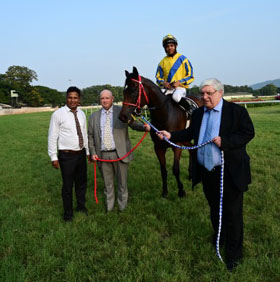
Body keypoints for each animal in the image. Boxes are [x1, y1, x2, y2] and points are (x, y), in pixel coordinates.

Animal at [119, 67, 202, 197]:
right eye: (124, 91)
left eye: (133, 89)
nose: (122, 116)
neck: (165, 114)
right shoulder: (158, 147)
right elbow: (163, 170)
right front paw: (165, 191)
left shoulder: (176, 145)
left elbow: (175, 169)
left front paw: (181, 191)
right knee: (192, 149)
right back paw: (190, 174)